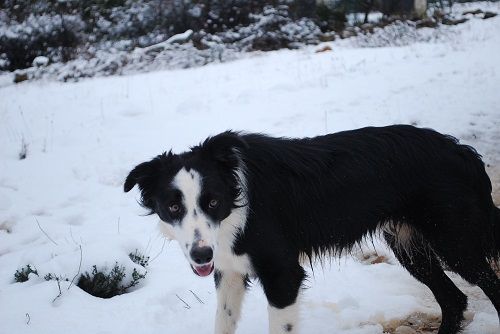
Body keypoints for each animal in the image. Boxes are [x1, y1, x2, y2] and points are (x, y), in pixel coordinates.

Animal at [124, 125, 500, 334]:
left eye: (213, 202)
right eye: (174, 207)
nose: (202, 255)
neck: (238, 204)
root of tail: (463, 151)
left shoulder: (283, 275)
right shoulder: (229, 272)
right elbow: (223, 323)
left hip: (455, 242)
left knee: (488, 287)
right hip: (409, 247)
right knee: (454, 299)